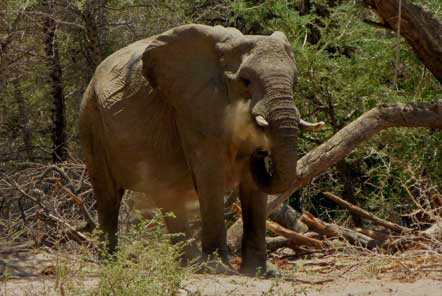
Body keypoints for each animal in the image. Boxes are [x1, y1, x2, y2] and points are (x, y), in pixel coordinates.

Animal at [78, 23, 322, 276]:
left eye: (295, 82)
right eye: (245, 81)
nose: (261, 149)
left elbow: (253, 189)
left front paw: (260, 272)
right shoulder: (193, 108)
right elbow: (210, 176)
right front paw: (219, 268)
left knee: (166, 193)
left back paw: (187, 262)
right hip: (91, 122)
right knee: (109, 196)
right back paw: (112, 262)